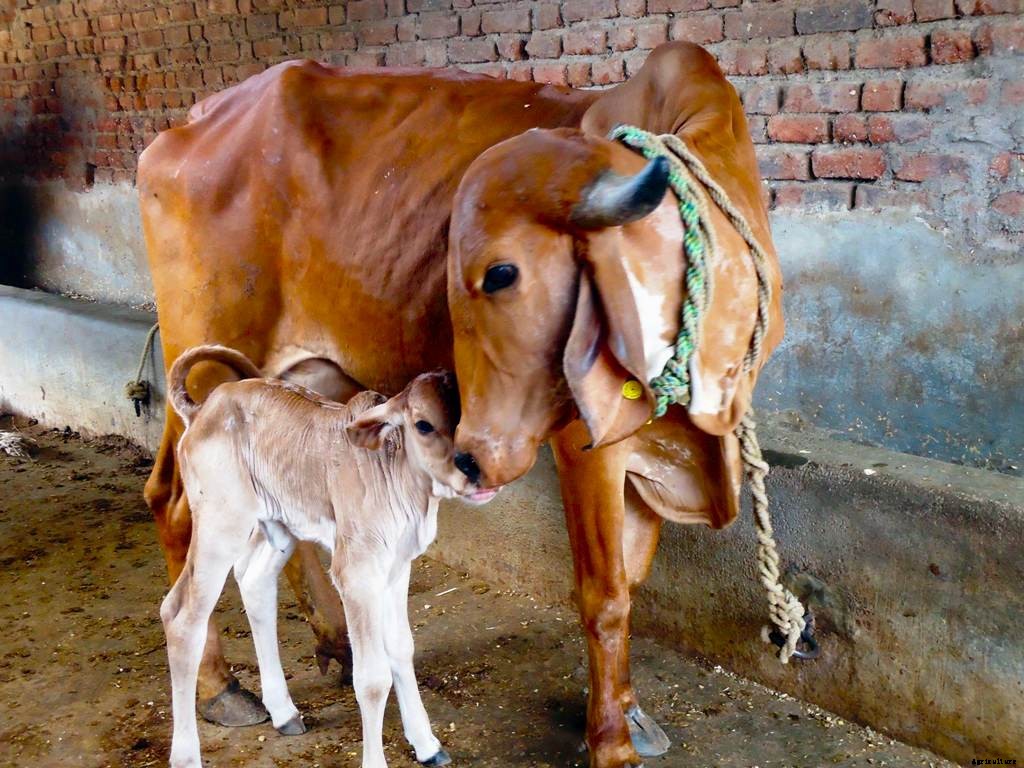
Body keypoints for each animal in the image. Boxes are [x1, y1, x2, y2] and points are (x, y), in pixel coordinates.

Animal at [162, 344, 469, 768]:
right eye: (423, 424)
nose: (471, 470)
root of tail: (203, 408)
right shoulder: (356, 571)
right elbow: (372, 678)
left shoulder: (397, 564)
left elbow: (402, 649)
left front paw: (427, 745)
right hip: (220, 525)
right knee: (180, 614)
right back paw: (187, 754)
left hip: (279, 524)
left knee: (254, 582)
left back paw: (284, 713)